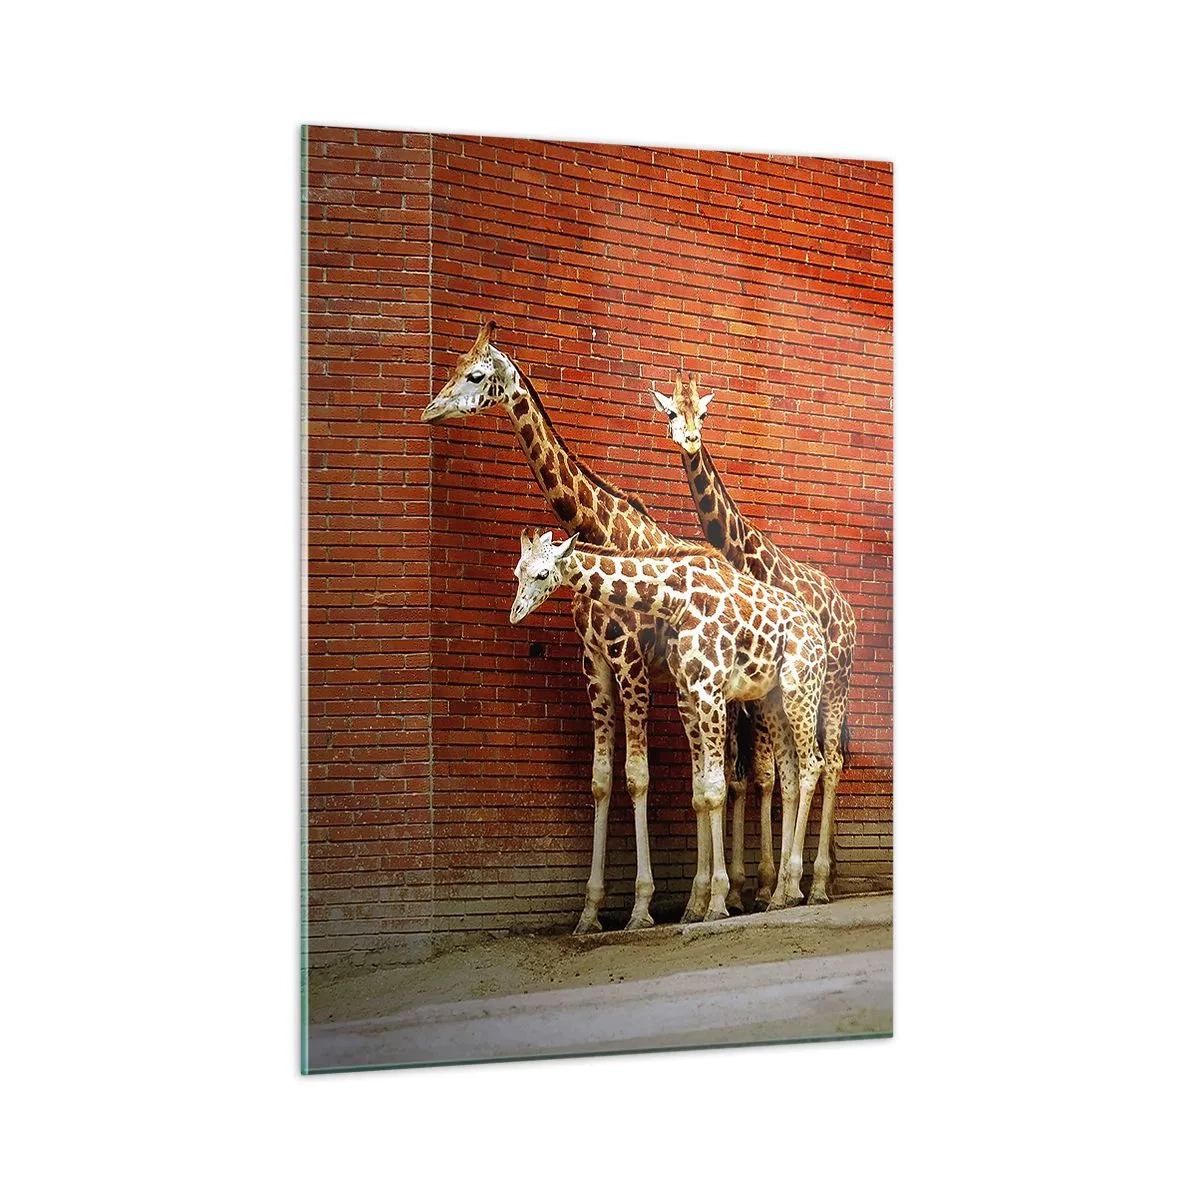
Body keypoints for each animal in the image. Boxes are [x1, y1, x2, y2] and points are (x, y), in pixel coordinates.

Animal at [423, 320, 748, 931]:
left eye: (475, 374)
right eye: (451, 365)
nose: (431, 410)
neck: (602, 530)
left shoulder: (631, 666)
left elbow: (638, 777)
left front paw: (641, 908)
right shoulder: (594, 666)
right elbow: (600, 782)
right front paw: (590, 911)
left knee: (743, 774)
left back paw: (742, 892)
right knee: (715, 772)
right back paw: (704, 898)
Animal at [509, 531, 827, 921]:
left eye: (542, 574)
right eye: (517, 572)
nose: (515, 613)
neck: (676, 599)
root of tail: (816, 631)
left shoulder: (708, 688)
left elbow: (715, 789)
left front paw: (716, 902)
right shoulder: (687, 694)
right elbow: (700, 792)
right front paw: (697, 903)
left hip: (801, 688)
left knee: (814, 764)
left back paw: (799, 886)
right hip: (772, 701)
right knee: (791, 777)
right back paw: (782, 894)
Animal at [649, 369, 857, 904]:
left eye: (703, 412)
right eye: (671, 411)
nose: (690, 438)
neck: (747, 557)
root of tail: (849, 611)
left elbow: (775, 775)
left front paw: (773, 885)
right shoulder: (750, 693)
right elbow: (759, 776)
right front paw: (760, 887)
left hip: (834, 686)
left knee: (831, 763)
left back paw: (818, 883)